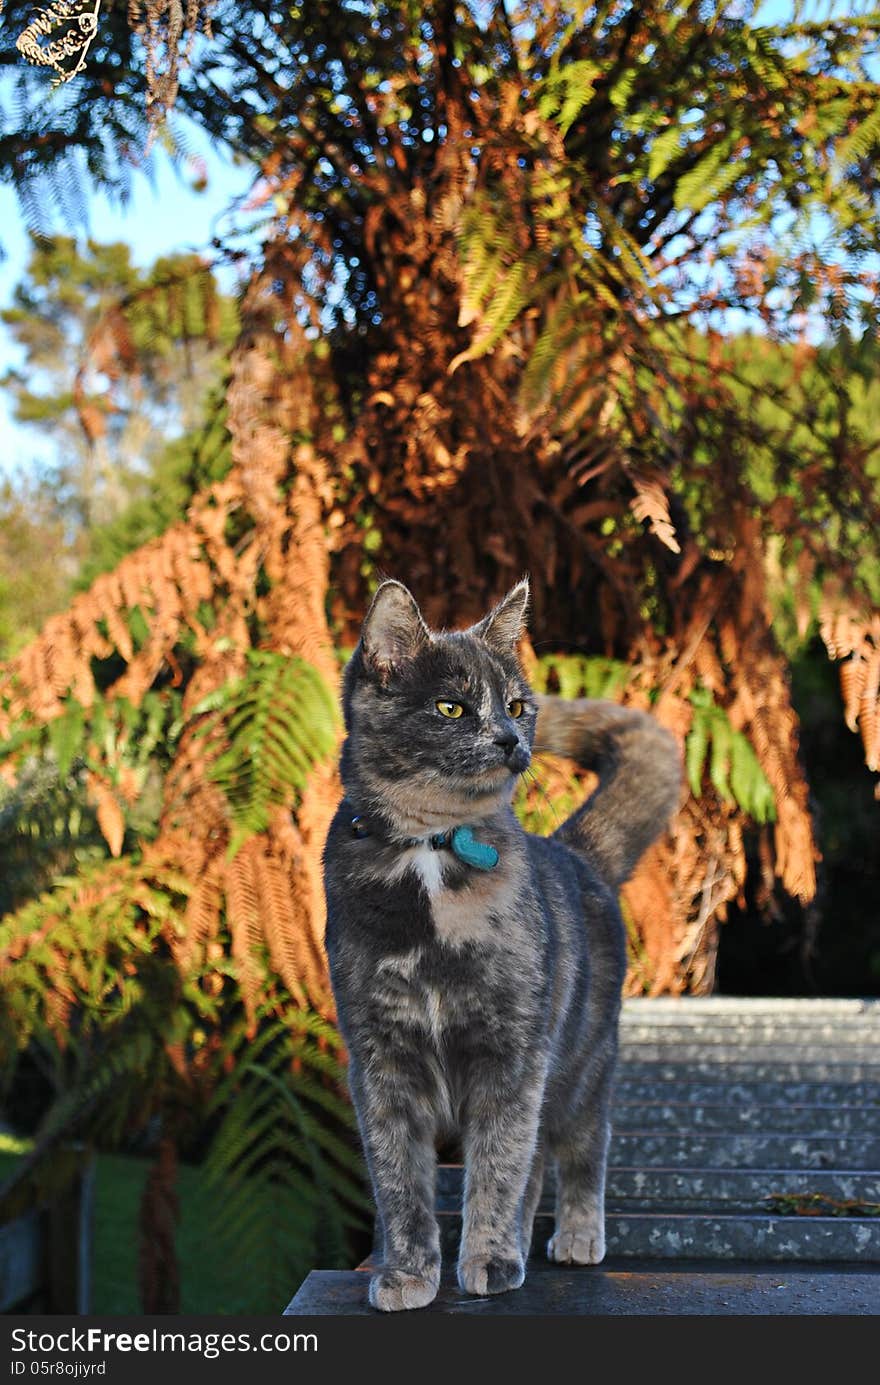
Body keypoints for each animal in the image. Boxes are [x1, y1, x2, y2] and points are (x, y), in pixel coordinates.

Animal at [324, 576, 681, 1307]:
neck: (430, 853)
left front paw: (488, 1259)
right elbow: (400, 1181)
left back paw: (575, 1235)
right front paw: (408, 1273)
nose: (512, 738)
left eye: (516, 703)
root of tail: (575, 850)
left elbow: (497, 1168)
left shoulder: (511, 1052)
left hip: (582, 1059)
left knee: (581, 1146)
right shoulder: (380, 1059)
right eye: (450, 706)